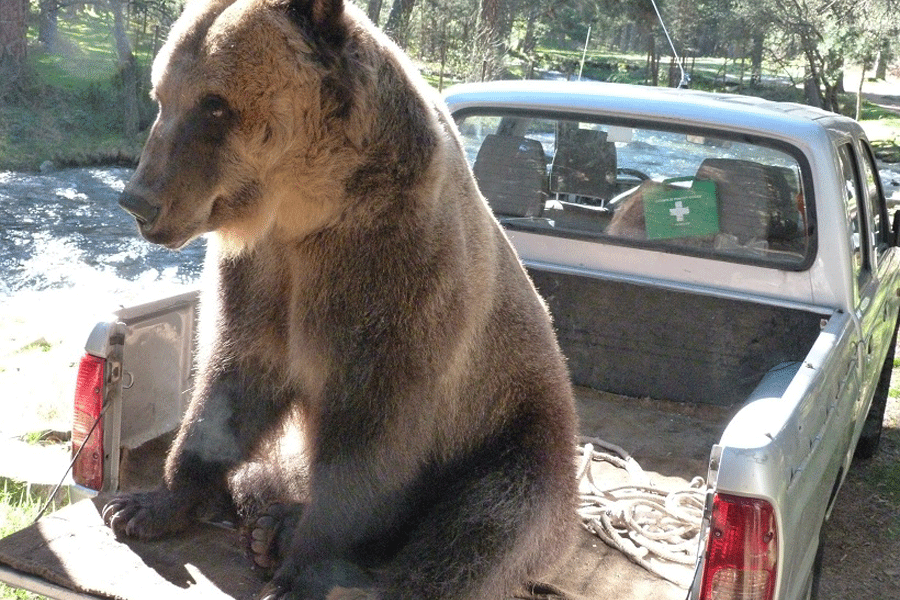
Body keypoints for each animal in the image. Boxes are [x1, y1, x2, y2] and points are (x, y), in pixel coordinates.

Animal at [103, 0, 576, 596]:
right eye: (161, 95)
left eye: (214, 105)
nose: (138, 200)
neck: (308, 209)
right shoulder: (263, 272)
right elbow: (232, 381)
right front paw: (145, 504)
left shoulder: (394, 276)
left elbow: (367, 440)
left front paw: (301, 573)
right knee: (267, 469)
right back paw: (272, 523)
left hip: (516, 429)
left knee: (487, 522)